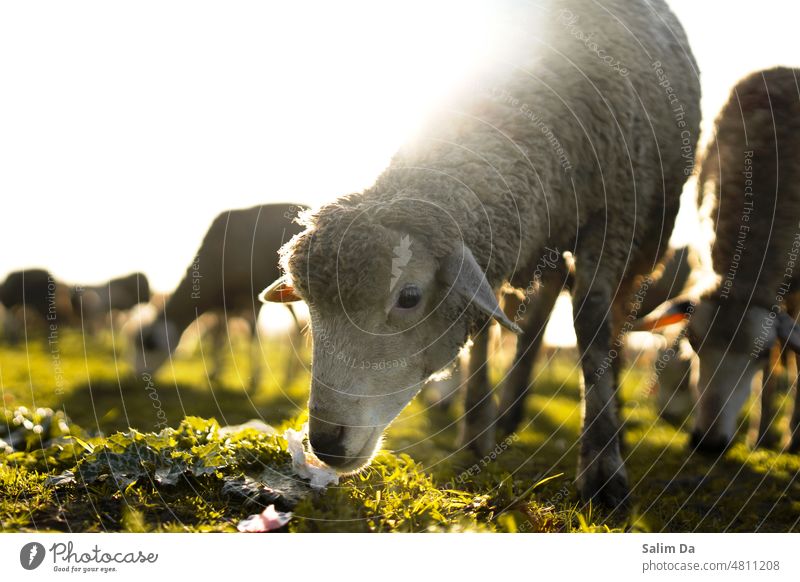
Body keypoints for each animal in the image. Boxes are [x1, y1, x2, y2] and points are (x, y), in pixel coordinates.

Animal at [133, 204, 308, 392]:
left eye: (149, 345)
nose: (138, 377)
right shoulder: (222, 304)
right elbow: (218, 336)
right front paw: (214, 373)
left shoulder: (251, 298)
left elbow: (251, 336)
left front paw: (254, 379)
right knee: (297, 327)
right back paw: (290, 375)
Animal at [264, 0, 700, 512]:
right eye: (310, 306)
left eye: (408, 297)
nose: (327, 444)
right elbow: (489, 325)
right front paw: (476, 430)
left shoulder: (615, 215)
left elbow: (591, 322)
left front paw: (603, 469)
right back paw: (504, 413)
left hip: (647, 232)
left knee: (608, 312)